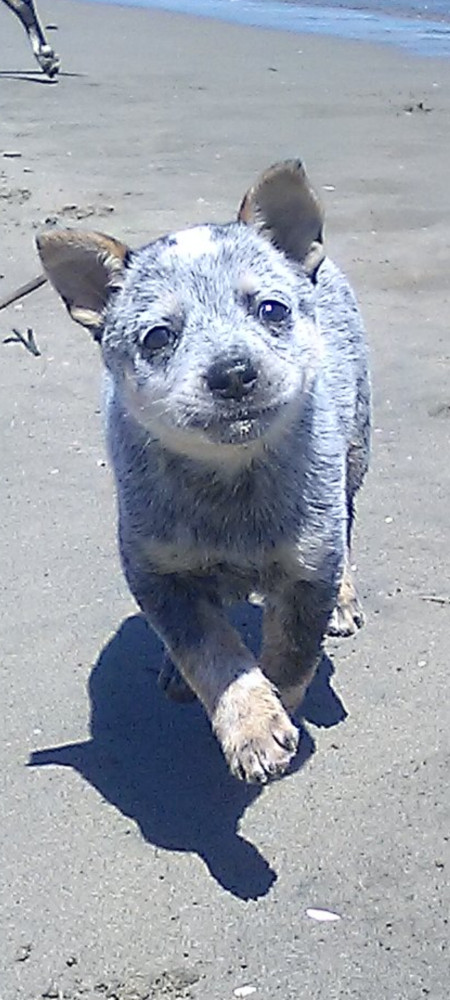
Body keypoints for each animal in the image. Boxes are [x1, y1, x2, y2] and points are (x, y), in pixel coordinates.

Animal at [37, 160, 370, 784]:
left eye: (272, 309)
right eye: (158, 336)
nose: (233, 372)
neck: (230, 480)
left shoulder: (307, 567)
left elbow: (290, 656)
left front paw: (272, 711)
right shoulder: (157, 572)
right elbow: (210, 651)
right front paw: (251, 723)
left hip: (356, 452)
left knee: (348, 522)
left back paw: (344, 600)